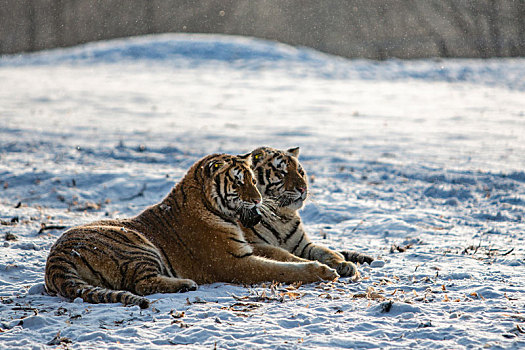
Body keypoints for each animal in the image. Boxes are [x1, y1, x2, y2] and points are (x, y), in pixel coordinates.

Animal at [47, 152, 338, 308]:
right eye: (239, 182)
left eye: (254, 181)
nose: (257, 200)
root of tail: (55, 260)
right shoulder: (234, 262)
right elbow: (280, 269)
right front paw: (323, 271)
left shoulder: (247, 248)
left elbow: (286, 255)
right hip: (135, 244)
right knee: (142, 284)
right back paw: (186, 284)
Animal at [242, 146, 372, 280]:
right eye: (281, 172)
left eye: (300, 172)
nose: (303, 188)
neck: (282, 217)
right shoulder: (255, 244)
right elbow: (282, 254)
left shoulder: (303, 245)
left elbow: (323, 251)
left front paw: (344, 264)